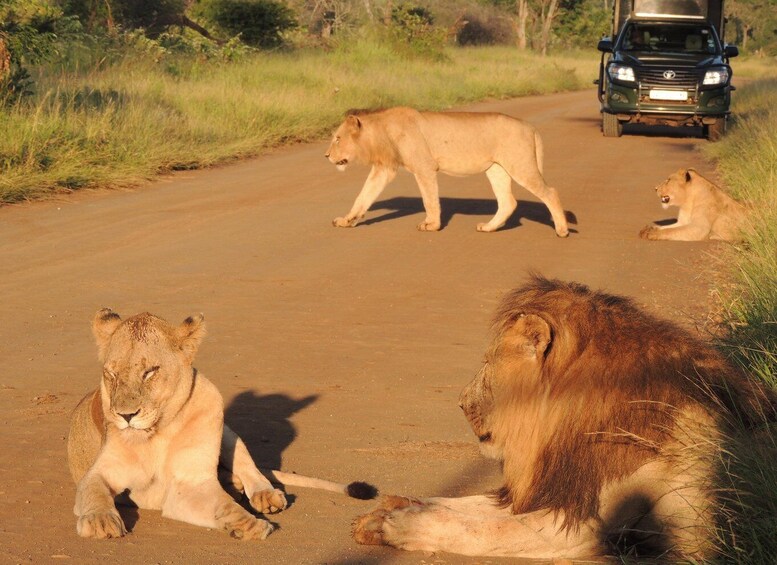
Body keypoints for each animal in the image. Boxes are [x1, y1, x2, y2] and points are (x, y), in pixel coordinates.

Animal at [68, 309, 376, 540]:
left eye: (150, 372)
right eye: (110, 374)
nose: (126, 415)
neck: (160, 431)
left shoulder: (191, 481)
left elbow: (224, 505)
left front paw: (249, 523)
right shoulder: (101, 474)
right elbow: (94, 491)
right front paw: (99, 521)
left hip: (227, 431)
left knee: (251, 470)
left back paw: (263, 494)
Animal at [325, 107, 569, 236]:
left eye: (337, 138)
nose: (326, 156)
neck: (381, 133)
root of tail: (530, 126)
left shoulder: (424, 167)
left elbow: (429, 199)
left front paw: (431, 225)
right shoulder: (384, 169)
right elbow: (363, 196)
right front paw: (347, 220)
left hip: (520, 165)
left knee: (551, 192)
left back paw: (562, 229)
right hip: (496, 169)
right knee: (508, 202)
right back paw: (488, 227)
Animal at [353, 277, 775, 560]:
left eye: (487, 364)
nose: (460, 402)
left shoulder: (581, 527)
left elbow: (477, 527)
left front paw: (396, 525)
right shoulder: (555, 489)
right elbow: (463, 505)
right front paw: (391, 506)